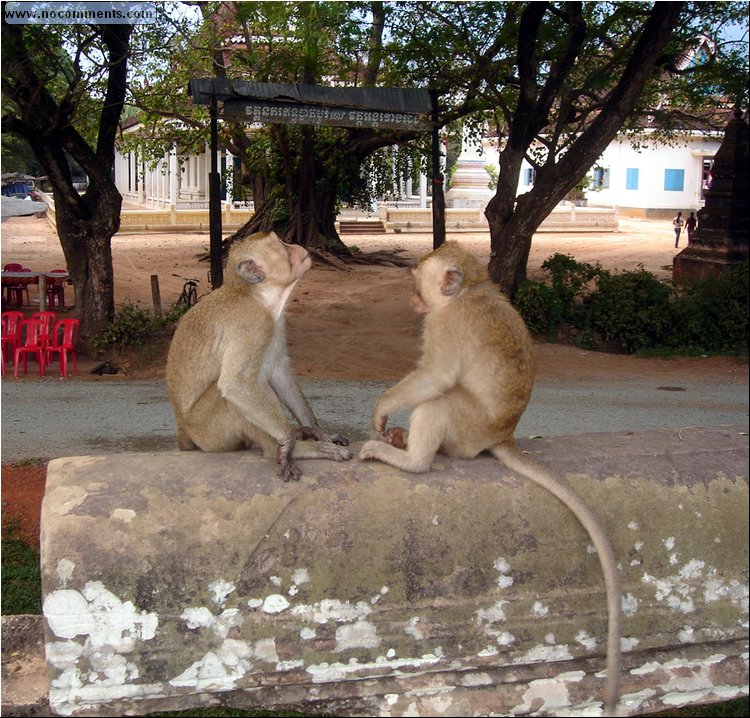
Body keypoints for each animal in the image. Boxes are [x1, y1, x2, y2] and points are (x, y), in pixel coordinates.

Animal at [166, 232, 354, 484]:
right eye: (281, 244)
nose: (295, 245)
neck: (259, 297)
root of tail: (182, 430)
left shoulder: (276, 322)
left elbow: (278, 372)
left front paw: (316, 431)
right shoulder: (254, 323)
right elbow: (234, 384)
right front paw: (288, 443)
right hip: (207, 432)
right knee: (231, 393)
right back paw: (289, 449)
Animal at [358, 243, 624, 718]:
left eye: (416, 279)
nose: (411, 297)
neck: (469, 292)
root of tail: (502, 435)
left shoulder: (445, 324)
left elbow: (436, 376)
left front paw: (382, 409)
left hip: (469, 428)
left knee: (440, 402)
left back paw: (410, 459)